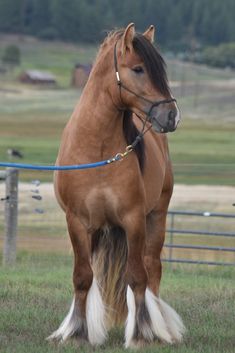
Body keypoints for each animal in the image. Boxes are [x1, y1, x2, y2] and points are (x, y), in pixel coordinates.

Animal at [48, 23, 185, 348]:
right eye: (138, 69)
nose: (172, 116)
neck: (96, 150)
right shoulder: (78, 222)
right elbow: (82, 276)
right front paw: (78, 333)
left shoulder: (133, 220)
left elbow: (137, 277)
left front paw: (142, 333)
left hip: (156, 217)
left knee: (152, 269)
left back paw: (159, 325)